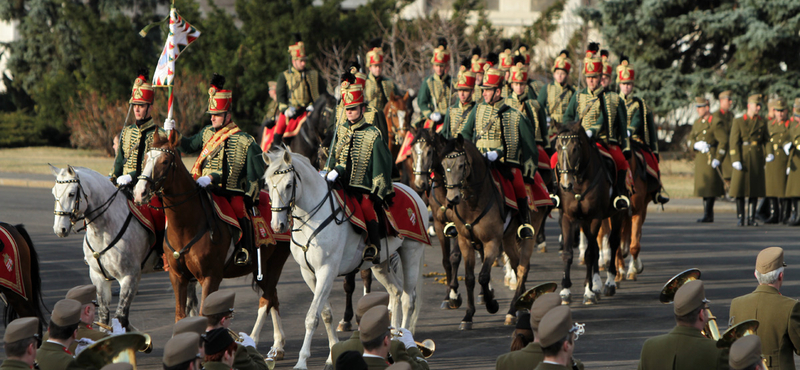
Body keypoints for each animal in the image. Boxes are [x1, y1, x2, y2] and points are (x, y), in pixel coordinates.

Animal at [50, 165, 199, 330]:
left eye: (71, 193)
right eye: (54, 193)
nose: (60, 229)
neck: (103, 230)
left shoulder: (129, 277)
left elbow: (121, 317)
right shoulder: (98, 277)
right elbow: (103, 316)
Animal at [133, 134, 292, 362]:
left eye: (164, 161)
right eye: (145, 158)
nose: (139, 192)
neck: (186, 224)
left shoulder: (210, 277)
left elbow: (203, 316)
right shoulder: (177, 276)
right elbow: (180, 315)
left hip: (276, 262)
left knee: (267, 298)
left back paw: (263, 343)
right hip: (263, 267)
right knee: (274, 298)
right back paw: (277, 346)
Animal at [264, 148, 428, 370]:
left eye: (289, 184)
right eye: (267, 184)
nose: (277, 225)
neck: (311, 217)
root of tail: (412, 192)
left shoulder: (327, 270)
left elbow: (311, 317)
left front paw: (301, 361)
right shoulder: (308, 273)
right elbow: (325, 314)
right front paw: (332, 355)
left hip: (411, 252)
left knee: (408, 299)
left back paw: (404, 340)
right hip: (380, 264)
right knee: (395, 292)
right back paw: (393, 338)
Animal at [438, 137, 544, 328]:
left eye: (461, 165)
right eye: (443, 166)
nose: (451, 199)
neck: (473, 203)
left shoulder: (492, 242)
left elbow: (483, 276)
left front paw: (492, 304)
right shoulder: (465, 241)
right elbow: (470, 278)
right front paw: (468, 315)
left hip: (529, 234)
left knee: (523, 268)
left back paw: (512, 311)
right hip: (508, 239)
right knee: (516, 265)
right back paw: (520, 305)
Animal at [552, 123, 628, 304]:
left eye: (575, 148)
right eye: (557, 148)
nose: (565, 185)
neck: (579, 182)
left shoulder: (595, 218)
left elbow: (590, 254)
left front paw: (588, 291)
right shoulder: (568, 218)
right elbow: (568, 253)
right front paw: (565, 290)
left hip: (616, 215)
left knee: (613, 242)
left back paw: (608, 283)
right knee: (595, 245)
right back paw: (597, 284)